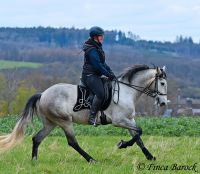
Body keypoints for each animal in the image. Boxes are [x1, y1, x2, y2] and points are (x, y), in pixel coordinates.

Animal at [0, 64, 167, 162]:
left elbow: (138, 137)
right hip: (64, 121)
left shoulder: (129, 120)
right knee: (72, 142)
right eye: (162, 83)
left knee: (37, 138)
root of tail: (42, 94)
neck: (127, 91)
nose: (163, 103)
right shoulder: (119, 121)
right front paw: (122, 144)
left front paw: (150, 157)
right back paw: (91, 159)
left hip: (50, 123)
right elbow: (140, 131)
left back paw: (34, 161)